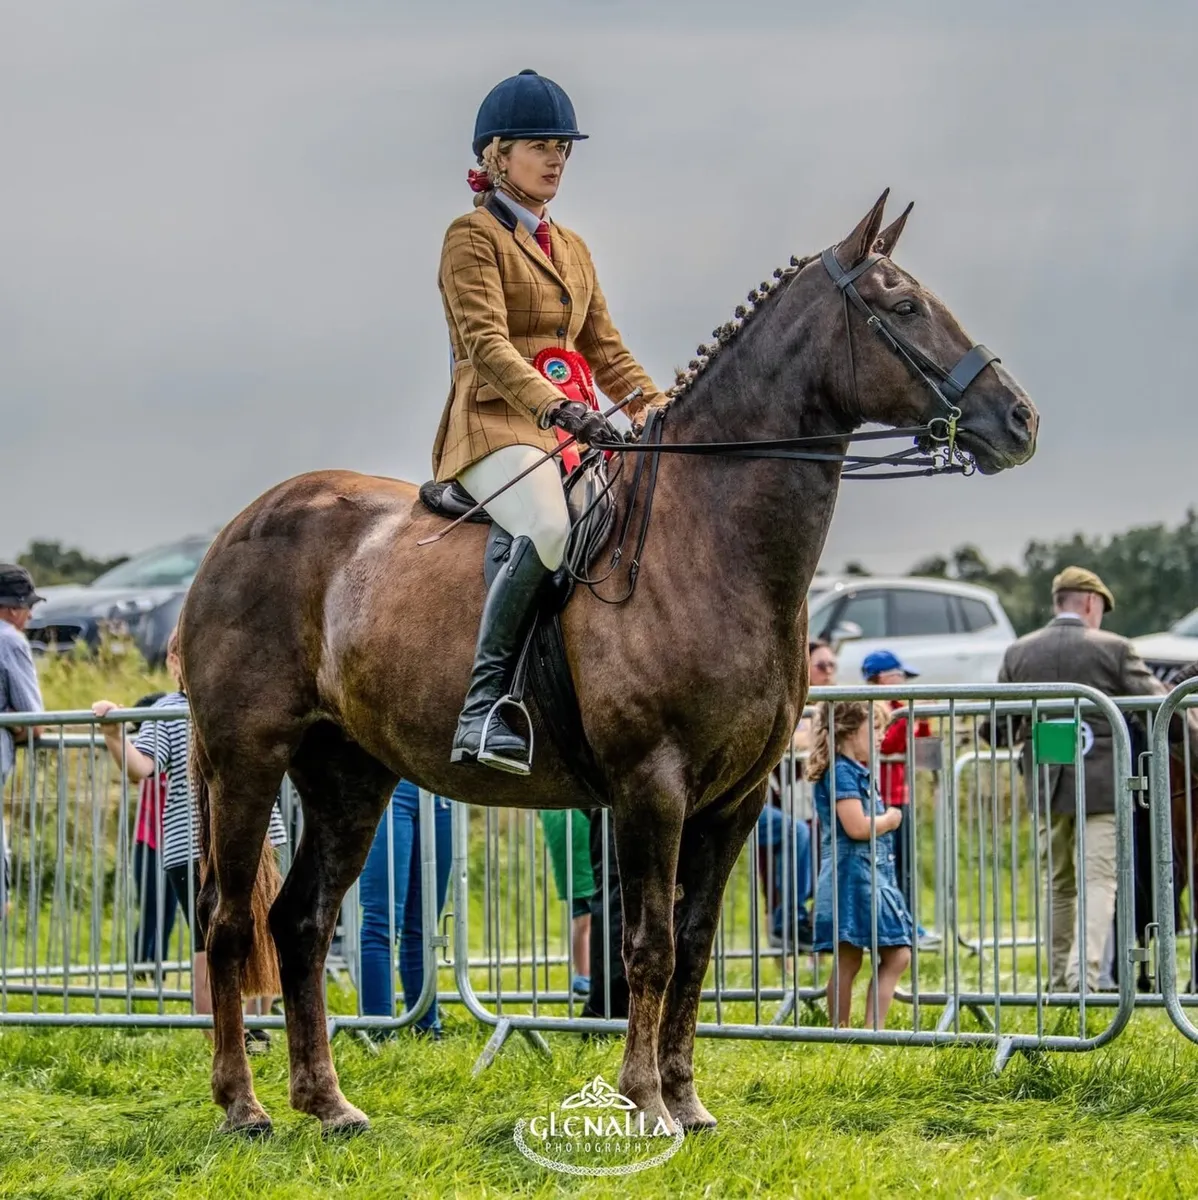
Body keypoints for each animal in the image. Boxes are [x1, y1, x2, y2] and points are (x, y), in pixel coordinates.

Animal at [179, 190, 1038, 1136]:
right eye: (904, 306)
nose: (1020, 420)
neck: (710, 540)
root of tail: (233, 532)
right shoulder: (650, 786)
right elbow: (648, 947)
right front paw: (645, 1103)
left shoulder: (735, 801)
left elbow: (694, 945)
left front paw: (688, 1101)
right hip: (247, 759)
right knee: (228, 924)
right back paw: (242, 1105)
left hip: (348, 774)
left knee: (300, 920)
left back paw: (328, 1103)